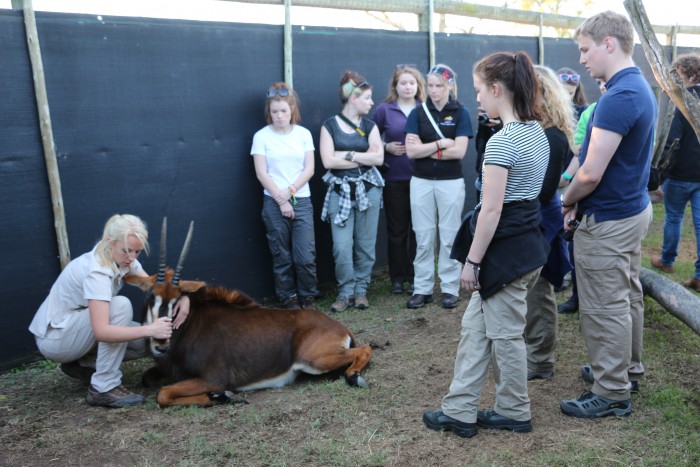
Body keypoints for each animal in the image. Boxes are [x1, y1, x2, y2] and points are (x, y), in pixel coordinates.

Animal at [128, 219, 374, 406]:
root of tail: (340, 327)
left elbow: (164, 394)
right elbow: (147, 379)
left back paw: (354, 377)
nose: (160, 345)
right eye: (151, 296)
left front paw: (222, 396)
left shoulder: (213, 378)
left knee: (365, 349)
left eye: (177, 300)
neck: (190, 325)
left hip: (313, 360)